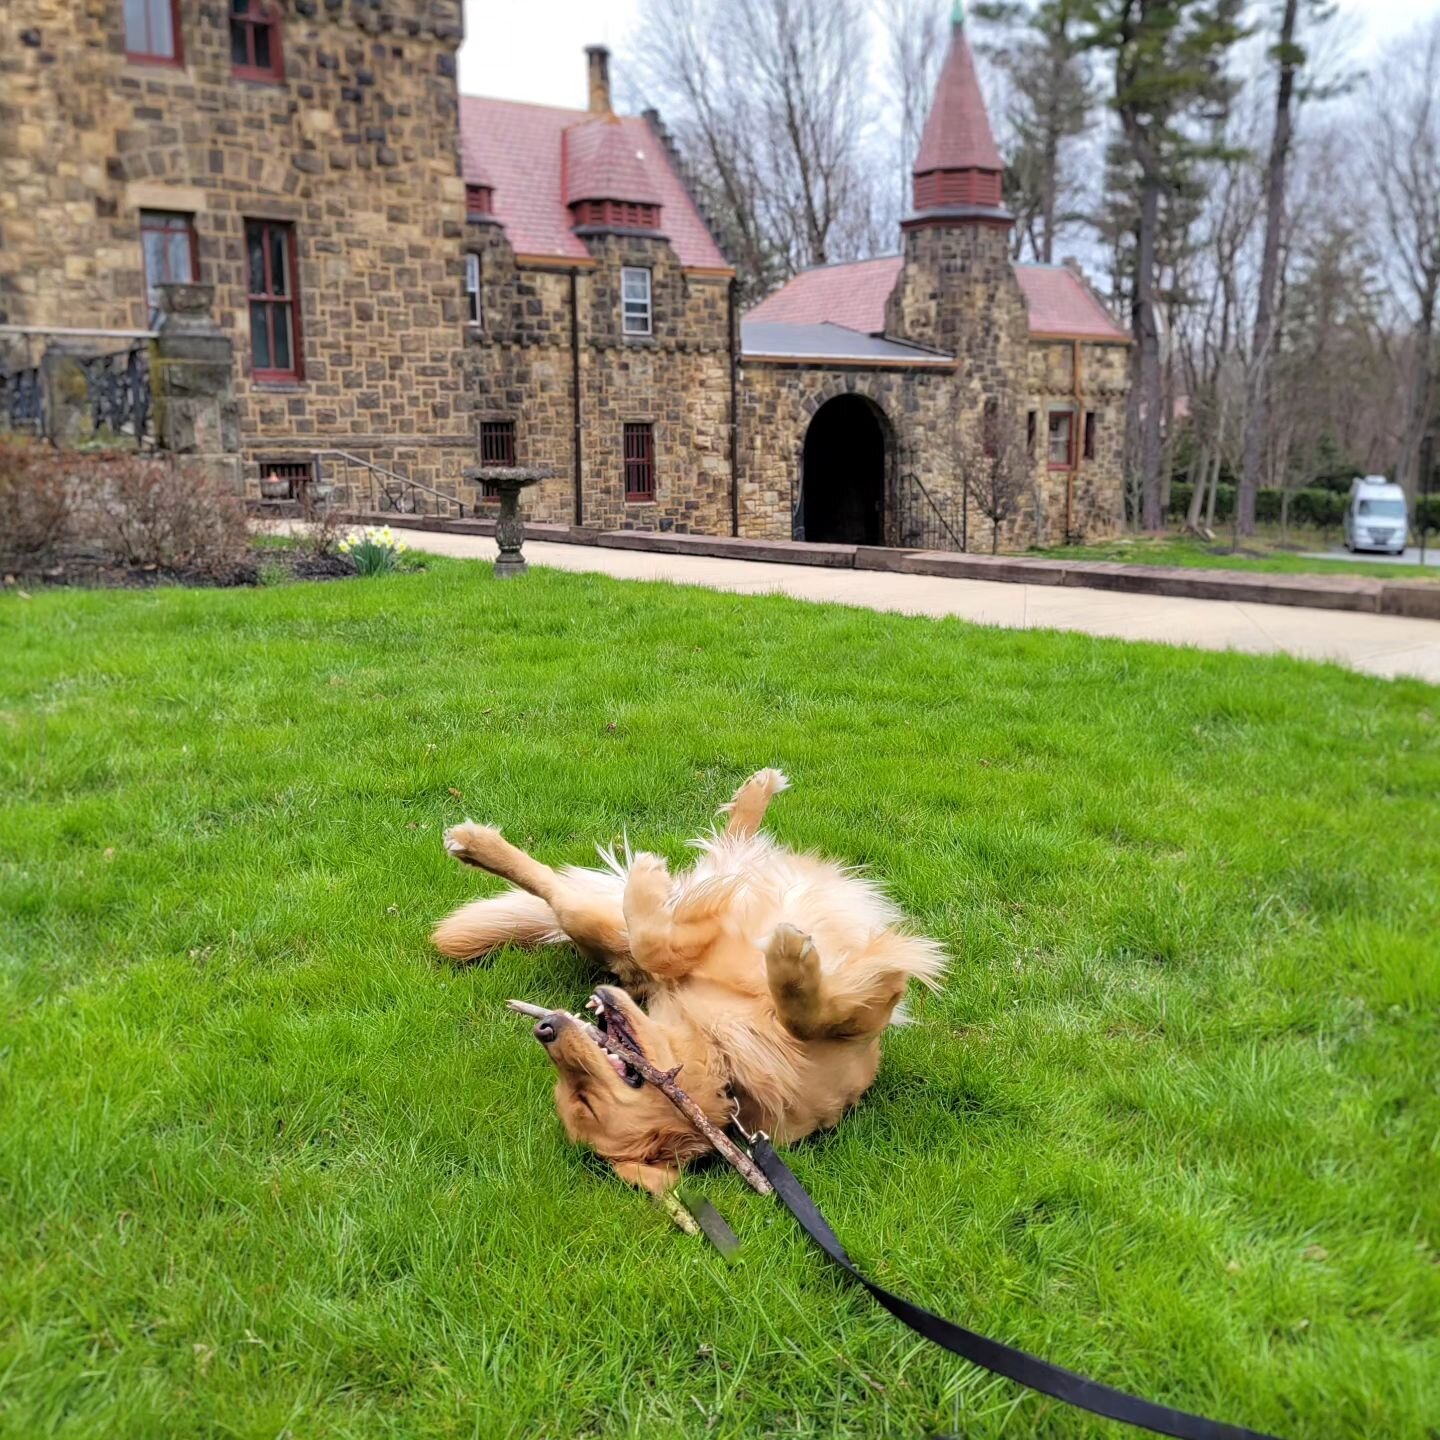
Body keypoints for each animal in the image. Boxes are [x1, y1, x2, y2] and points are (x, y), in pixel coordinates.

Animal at [429, 777, 944, 1192]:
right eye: (581, 1101)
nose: (545, 1030)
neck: (724, 1063)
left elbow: (659, 944)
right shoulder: (857, 1026)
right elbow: (804, 1011)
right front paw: (790, 959)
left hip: (610, 929)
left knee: (583, 896)